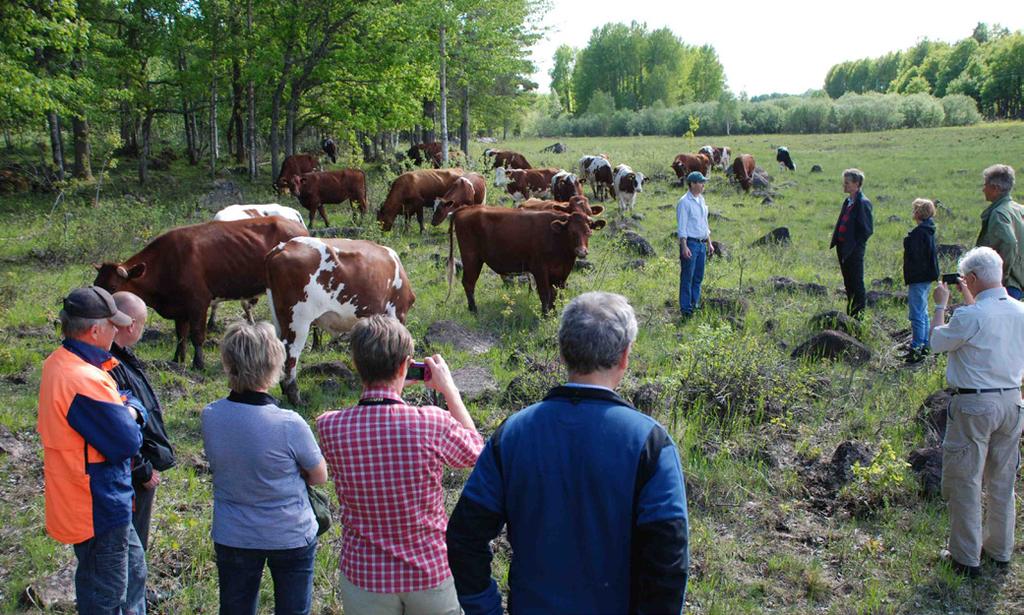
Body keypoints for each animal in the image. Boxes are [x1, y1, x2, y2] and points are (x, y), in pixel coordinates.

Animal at [93, 216, 307, 366]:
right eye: (96, 283)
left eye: (113, 287)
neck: (167, 262)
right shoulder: (179, 308)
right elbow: (181, 335)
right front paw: (178, 360)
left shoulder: (198, 302)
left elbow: (196, 335)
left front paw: (198, 363)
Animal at [268, 235, 419, 403]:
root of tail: (283, 247)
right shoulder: (397, 312)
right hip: (299, 320)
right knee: (291, 353)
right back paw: (296, 397)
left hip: (280, 318)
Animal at [450, 206, 606, 315]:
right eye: (572, 232)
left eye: (589, 232)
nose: (582, 251)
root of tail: (467, 208)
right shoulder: (540, 269)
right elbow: (545, 293)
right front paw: (545, 315)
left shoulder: (562, 271)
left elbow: (556, 293)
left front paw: (554, 313)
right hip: (471, 257)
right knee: (469, 283)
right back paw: (474, 310)